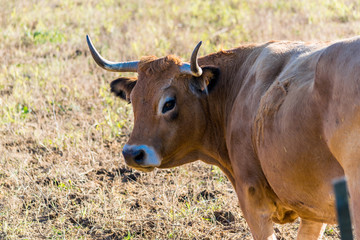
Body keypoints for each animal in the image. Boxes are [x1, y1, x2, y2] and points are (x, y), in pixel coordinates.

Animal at [87, 34, 360, 240]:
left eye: (169, 103)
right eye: (132, 100)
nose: (132, 153)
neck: (239, 86)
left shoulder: (253, 201)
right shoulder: (312, 212)